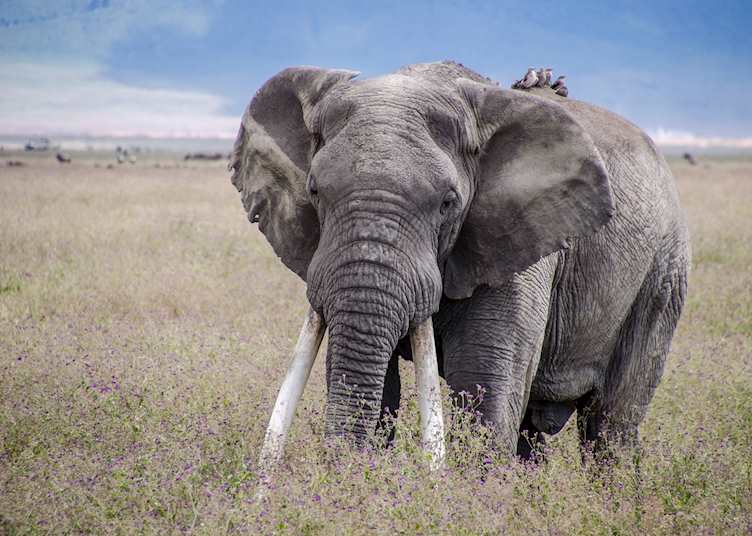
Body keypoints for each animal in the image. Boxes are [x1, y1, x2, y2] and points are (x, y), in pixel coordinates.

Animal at [229, 61, 690, 468]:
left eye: (448, 203)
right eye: (314, 191)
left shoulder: (519, 249)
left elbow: (484, 389)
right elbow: (375, 387)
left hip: (663, 274)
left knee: (610, 426)